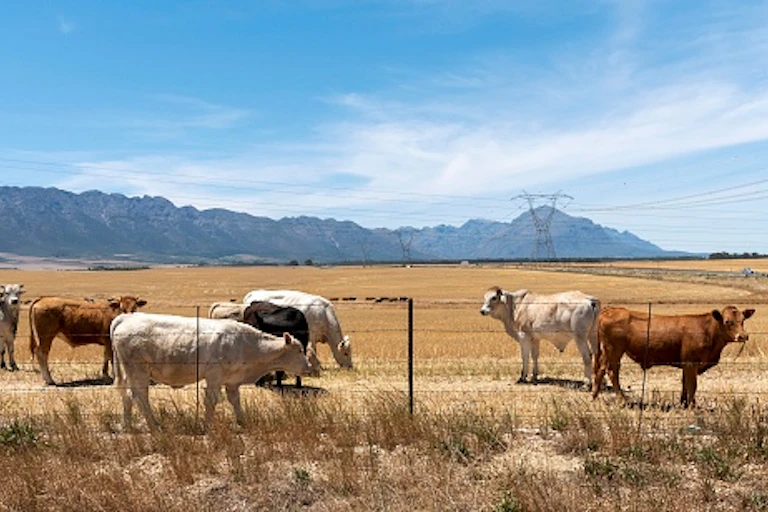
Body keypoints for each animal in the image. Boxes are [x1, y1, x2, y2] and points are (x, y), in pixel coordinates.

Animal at [110, 312, 315, 429]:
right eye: (299, 350)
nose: (308, 368)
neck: (247, 345)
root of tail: (126, 317)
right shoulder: (214, 376)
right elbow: (211, 401)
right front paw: (206, 426)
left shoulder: (232, 381)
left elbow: (235, 401)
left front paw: (242, 422)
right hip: (139, 371)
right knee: (139, 397)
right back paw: (153, 426)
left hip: (129, 372)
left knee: (127, 395)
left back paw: (127, 425)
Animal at [592, 305, 756, 407]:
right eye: (728, 321)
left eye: (743, 320)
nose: (743, 336)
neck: (708, 330)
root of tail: (610, 310)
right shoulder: (691, 363)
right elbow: (692, 385)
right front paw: (692, 405)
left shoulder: (686, 364)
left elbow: (685, 384)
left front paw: (683, 403)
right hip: (613, 350)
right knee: (611, 371)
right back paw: (620, 400)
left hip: (608, 352)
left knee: (601, 370)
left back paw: (594, 396)